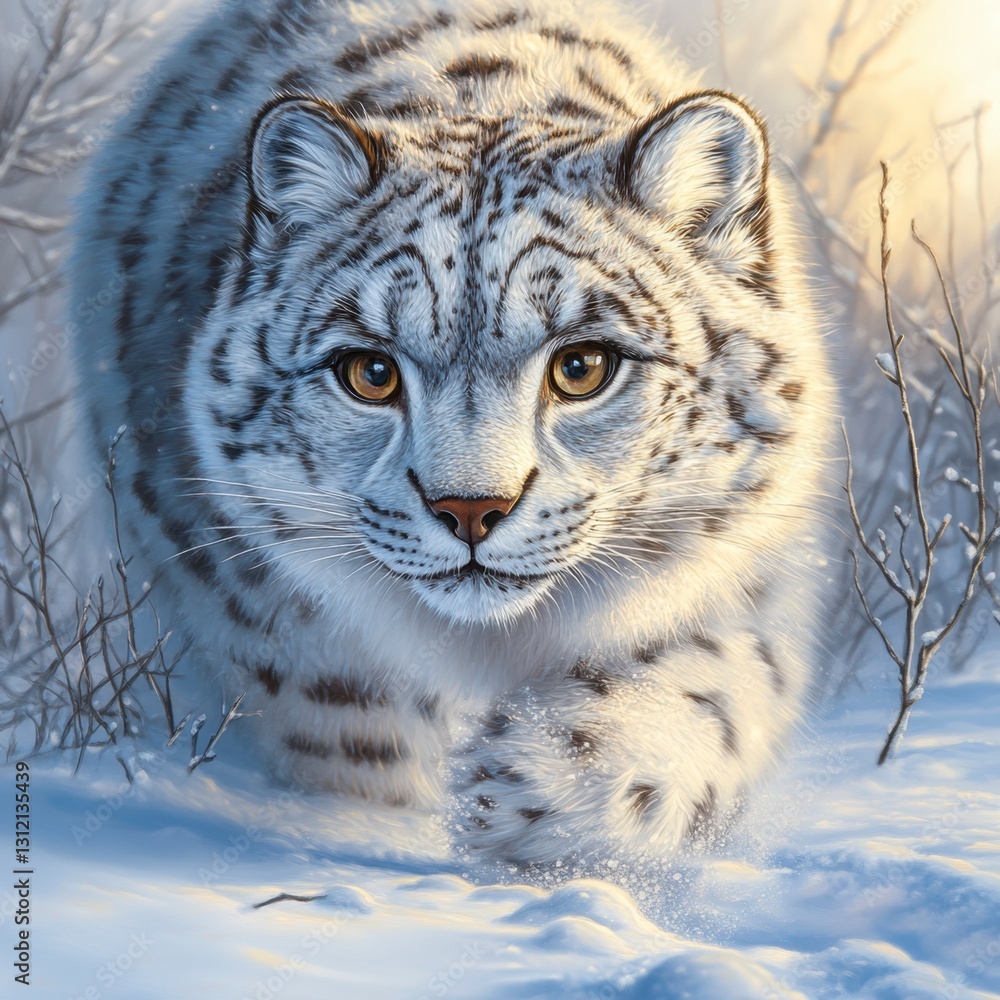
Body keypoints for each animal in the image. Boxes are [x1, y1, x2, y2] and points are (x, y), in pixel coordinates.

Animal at [71, 0, 834, 864]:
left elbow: (717, 681)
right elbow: (341, 722)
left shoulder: (750, 575)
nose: (470, 508)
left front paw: (540, 778)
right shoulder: (238, 587)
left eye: (583, 366)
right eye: (370, 372)